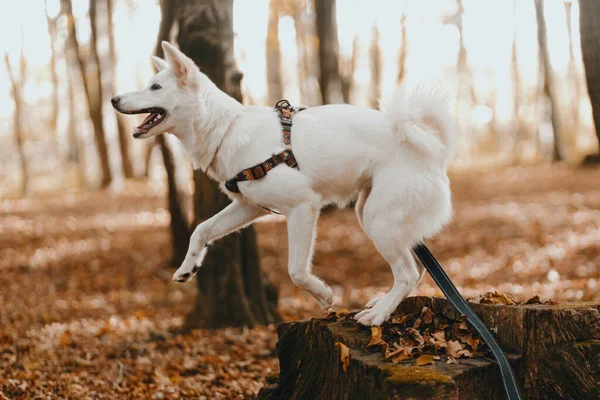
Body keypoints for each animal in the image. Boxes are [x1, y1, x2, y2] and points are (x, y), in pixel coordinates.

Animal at [111, 41, 454, 328]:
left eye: (155, 86)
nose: (114, 99)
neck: (227, 129)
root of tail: (429, 145)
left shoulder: (303, 208)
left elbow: (297, 271)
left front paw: (324, 295)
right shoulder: (248, 207)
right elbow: (202, 230)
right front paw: (189, 266)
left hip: (378, 219)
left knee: (408, 273)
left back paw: (378, 314)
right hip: (370, 213)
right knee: (415, 272)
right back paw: (383, 303)